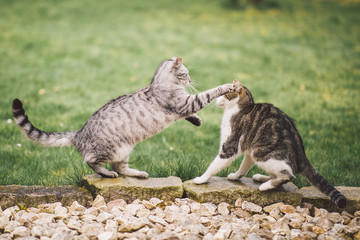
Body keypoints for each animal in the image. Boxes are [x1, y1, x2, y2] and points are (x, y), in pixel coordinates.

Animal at [12, 57, 233, 178]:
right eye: (186, 73)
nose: (190, 79)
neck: (158, 83)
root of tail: (79, 133)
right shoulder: (186, 102)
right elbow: (208, 94)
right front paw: (227, 86)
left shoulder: (183, 107)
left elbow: (189, 115)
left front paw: (197, 120)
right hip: (110, 148)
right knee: (92, 161)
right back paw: (107, 173)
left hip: (125, 149)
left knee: (121, 166)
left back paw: (138, 173)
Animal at [195, 80, 348, 208]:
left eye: (224, 93)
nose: (216, 99)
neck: (241, 108)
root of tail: (301, 152)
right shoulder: (248, 151)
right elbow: (243, 167)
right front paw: (235, 176)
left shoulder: (230, 147)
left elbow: (214, 166)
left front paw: (202, 179)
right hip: (256, 151)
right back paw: (261, 178)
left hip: (260, 153)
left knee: (288, 175)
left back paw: (266, 185)